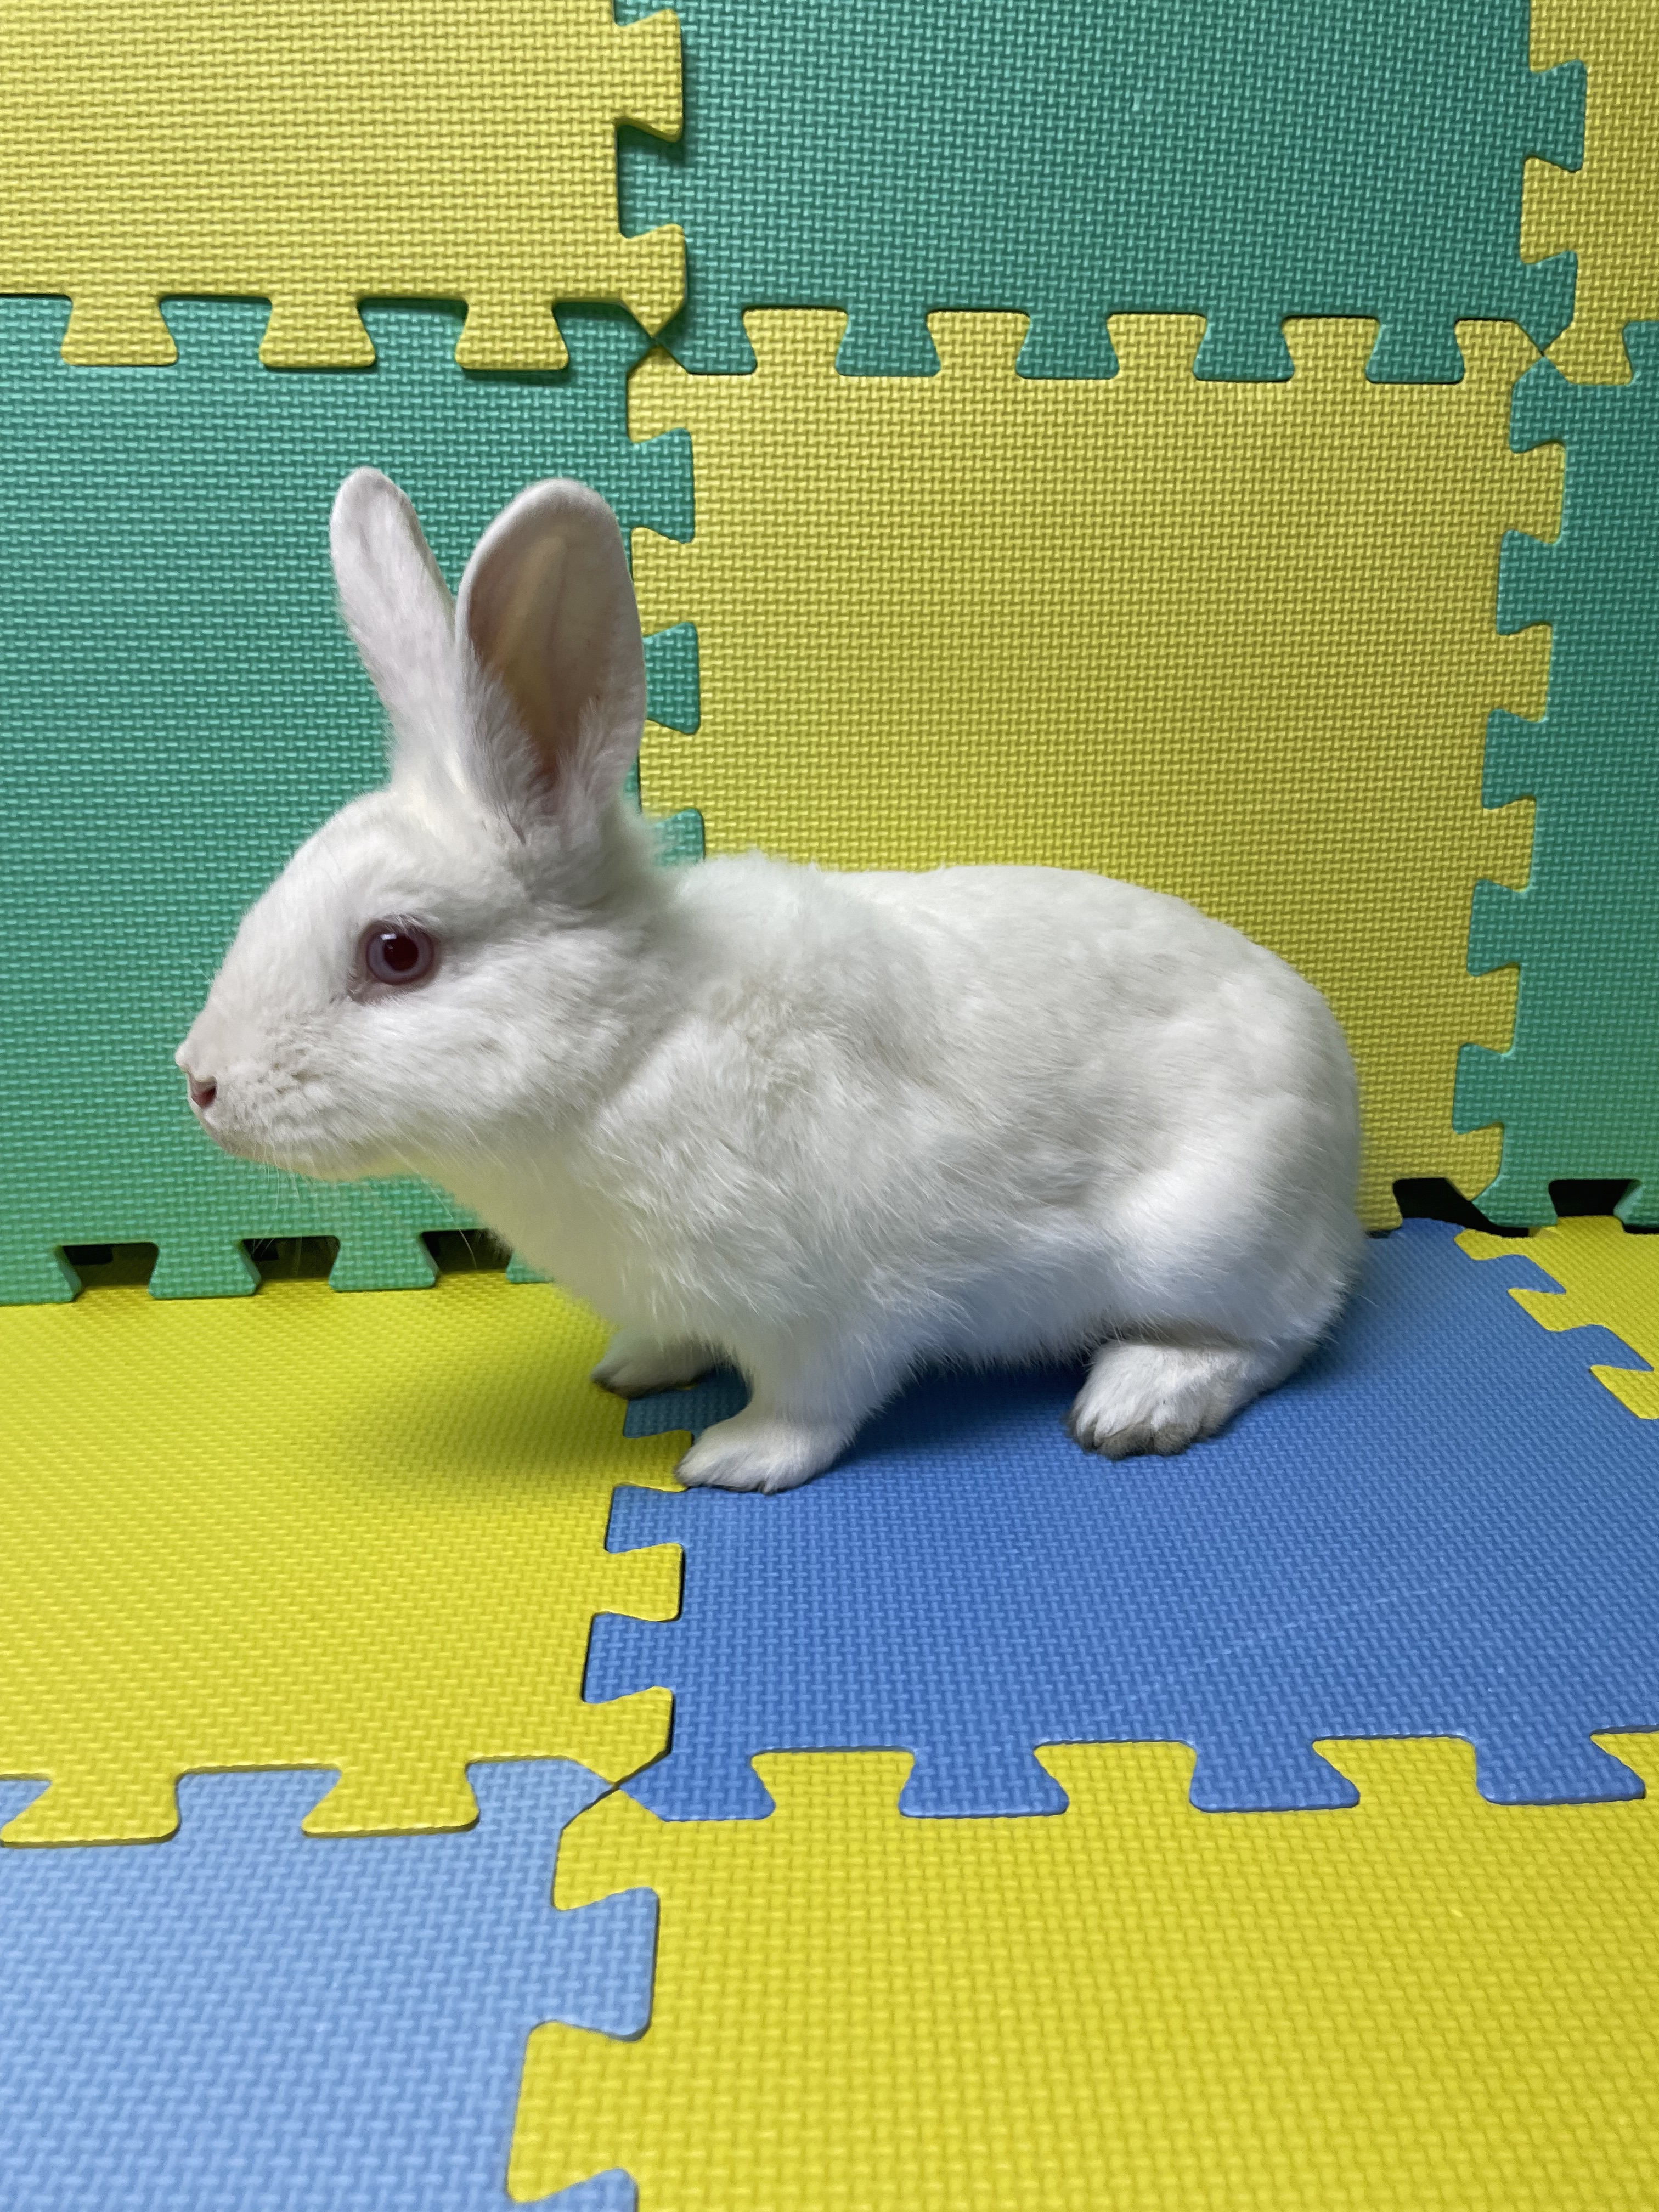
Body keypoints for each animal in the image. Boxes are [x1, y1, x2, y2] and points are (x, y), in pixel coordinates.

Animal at [178, 468, 1365, 1493]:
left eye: (397, 952)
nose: (200, 1082)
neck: (632, 1050)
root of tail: (1340, 1098)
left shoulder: (839, 1311)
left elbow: (814, 1403)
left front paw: (733, 1459)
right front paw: (636, 1366)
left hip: (1204, 1243)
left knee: (1281, 1336)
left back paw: (1137, 1401)